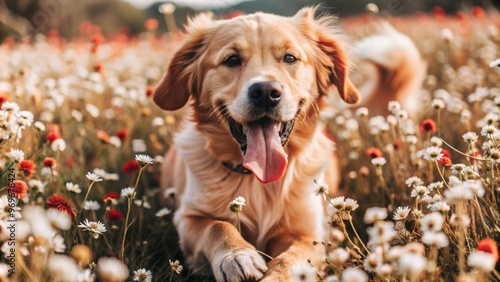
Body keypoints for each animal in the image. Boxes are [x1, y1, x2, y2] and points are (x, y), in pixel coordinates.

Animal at [155, 7, 360, 282]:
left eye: (290, 58)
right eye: (232, 60)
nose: (265, 92)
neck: (257, 180)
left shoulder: (309, 234)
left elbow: (293, 261)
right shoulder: (187, 218)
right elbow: (217, 226)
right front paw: (237, 256)